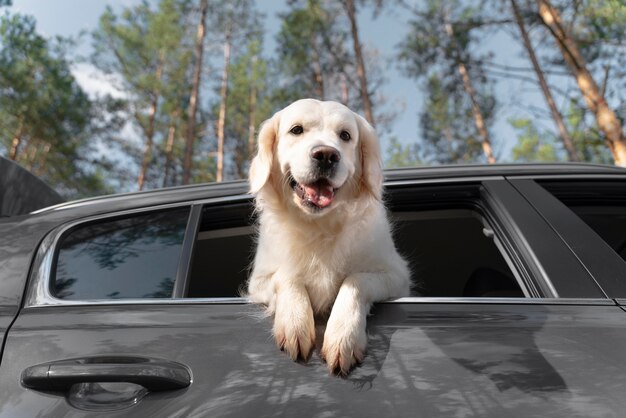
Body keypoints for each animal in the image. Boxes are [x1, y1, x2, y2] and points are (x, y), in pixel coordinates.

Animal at [244, 99, 410, 376]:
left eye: (345, 135)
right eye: (296, 130)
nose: (326, 155)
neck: (319, 226)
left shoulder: (397, 275)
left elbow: (355, 280)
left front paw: (343, 336)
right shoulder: (258, 280)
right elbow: (286, 276)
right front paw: (295, 321)